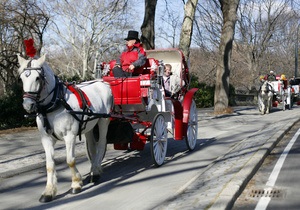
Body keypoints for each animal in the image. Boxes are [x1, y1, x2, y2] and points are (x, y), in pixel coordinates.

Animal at [17, 54, 113, 202]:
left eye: (37, 78)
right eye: (22, 78)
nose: (28, 105)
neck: (55, 103)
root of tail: (102, 82)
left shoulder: (70, 136)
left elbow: (70, 160)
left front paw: (76, 184)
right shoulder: (46, 139)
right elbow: (49, 165)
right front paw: (49, 191)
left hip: (103, 121)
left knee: (102, 143)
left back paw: (96, 172)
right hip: (90, 125)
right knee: (92, 148)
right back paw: (93, 169)